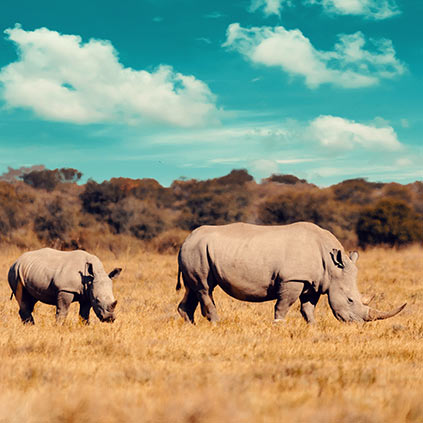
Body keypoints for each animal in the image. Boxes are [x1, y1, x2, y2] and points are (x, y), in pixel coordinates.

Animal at [176, 222, 408, 324]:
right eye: (350, 300)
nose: (358, 324)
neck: (332, 265)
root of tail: (186, 240)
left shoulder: (315, 281)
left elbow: (308, 308)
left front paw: (313, 327)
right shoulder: (293, 278)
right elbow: (283, 306)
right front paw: (279, 326)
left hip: (195, 250)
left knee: (193, 289)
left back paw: (190, 326)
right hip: (197, 250)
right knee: (205, 288)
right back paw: (216, 323)